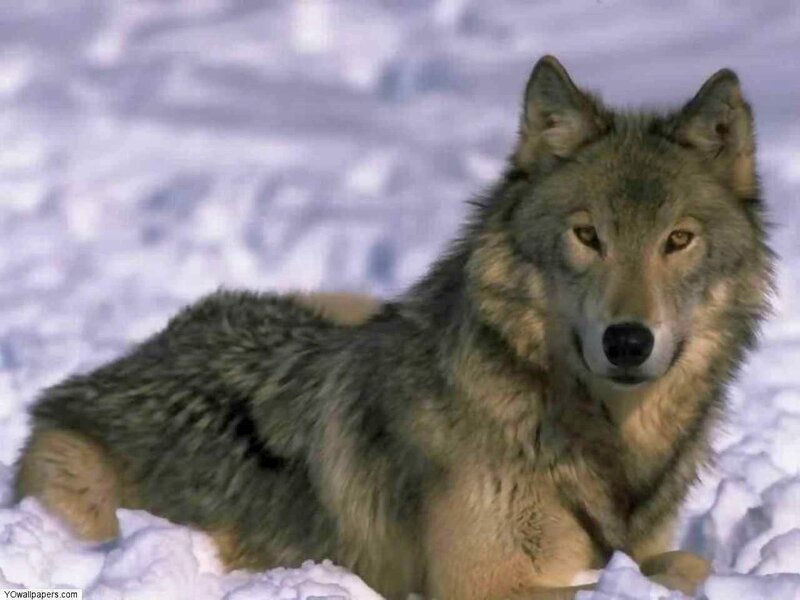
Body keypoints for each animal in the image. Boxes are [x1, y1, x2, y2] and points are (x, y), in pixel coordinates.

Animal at [15, 56, 772, 599]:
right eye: (588, 236)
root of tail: (110, 369)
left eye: (678, 240)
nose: (628, 341)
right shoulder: (487, 585)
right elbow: (681, 569)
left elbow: (678, 561)